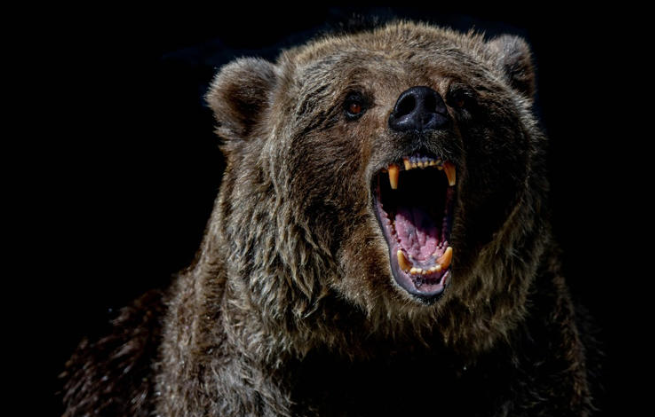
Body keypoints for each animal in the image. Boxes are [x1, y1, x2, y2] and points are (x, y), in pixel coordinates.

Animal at [61, 22, 600, 416]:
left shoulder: (517, 358)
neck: (386, 332)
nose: (419, 106)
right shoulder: (247, 373)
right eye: (353, 102)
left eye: (462, 95)